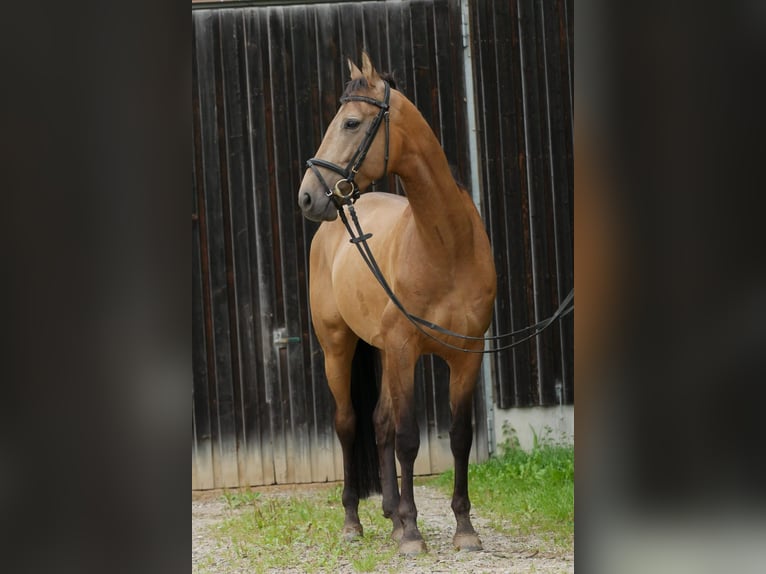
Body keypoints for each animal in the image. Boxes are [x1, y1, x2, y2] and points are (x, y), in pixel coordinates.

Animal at [294, 54, 498, 560]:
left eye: (350, 122)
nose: (307, 196)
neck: (445, 245)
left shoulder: (466, 355)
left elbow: (459, 437)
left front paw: (463, 528)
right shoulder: (407, 350)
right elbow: (408, 439)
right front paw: (412, 532)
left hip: (384, 353)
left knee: (379, 423)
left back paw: (389, 514)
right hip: (339, 348)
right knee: (350, 424)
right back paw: (355, 521)